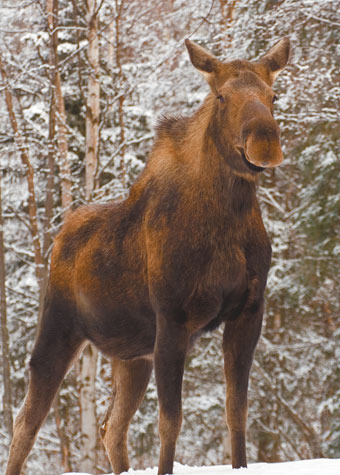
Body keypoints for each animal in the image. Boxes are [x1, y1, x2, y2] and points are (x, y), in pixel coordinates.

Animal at [5, 38, 290, 475]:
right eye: (221, 96)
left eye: (273, 95)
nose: (265, 142)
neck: (229, 216)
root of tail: (60, 236)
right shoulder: (173, 318)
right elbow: (170, 421)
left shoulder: (249, 311)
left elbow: (236, 412)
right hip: (59, 326)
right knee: (27, 421)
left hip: (131, 354)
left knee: (111, 427)